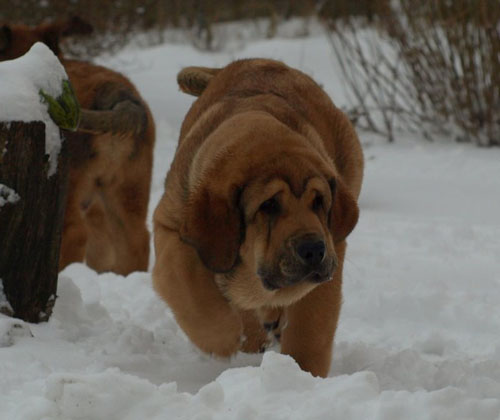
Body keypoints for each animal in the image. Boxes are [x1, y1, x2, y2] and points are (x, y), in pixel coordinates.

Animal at [152, 58, 364, 378]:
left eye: (318, 201)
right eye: (269, 205)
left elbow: (311, 324)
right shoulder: (171, 226)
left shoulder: (332, 252)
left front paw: (302, 375)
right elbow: (190, 288)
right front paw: (226, 337)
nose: (313, 249)